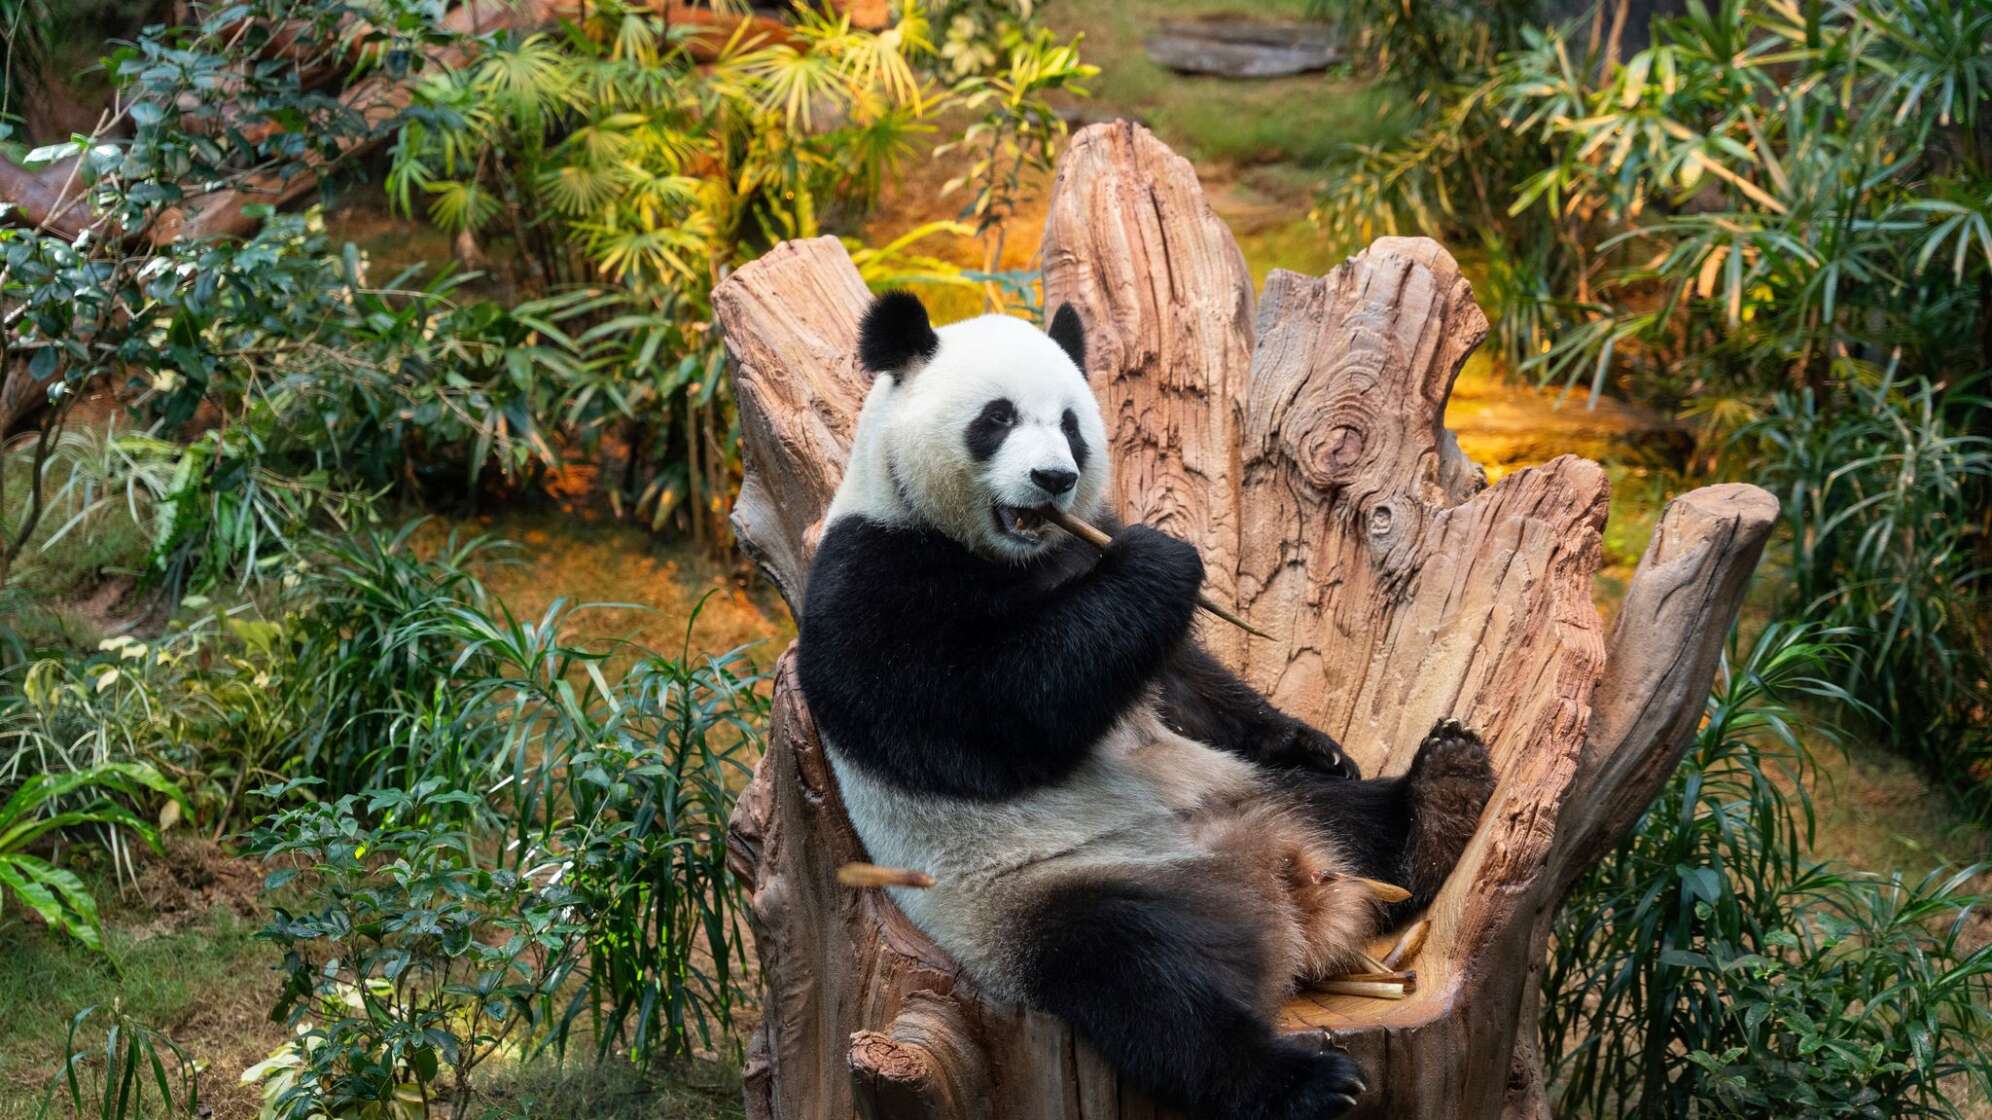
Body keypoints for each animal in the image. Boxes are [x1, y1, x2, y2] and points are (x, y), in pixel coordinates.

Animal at [798, 290, 1497, 1120]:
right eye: (996, 418)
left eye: (1071, 422)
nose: (1054, 478)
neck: (1012, 554)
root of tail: (1281, 901)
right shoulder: (872, 576)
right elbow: (983, 716)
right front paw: (1161, 560)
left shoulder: (1080, 551)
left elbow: (1182, 681)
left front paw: (1311, 739)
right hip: (1045, 902)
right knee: (1151, 990)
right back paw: (1301, 1081)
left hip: (1255, 796)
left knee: (1355, 819)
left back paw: (1443, 795)